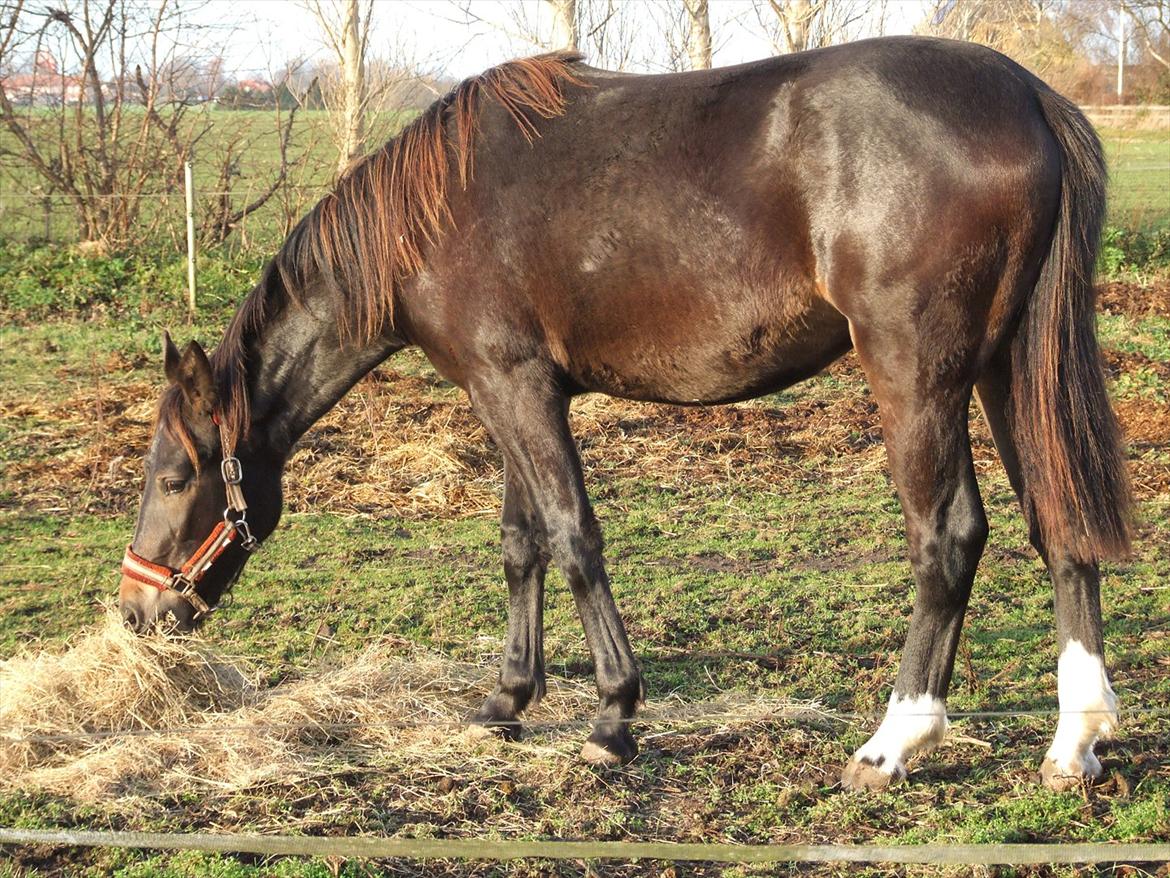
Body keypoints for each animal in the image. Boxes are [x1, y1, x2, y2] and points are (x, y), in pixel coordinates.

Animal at [114, 37, 1127, 796]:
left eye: (174, 476)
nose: (136, 612)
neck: (435, 215)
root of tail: (1029, 97)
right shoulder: (505, 392)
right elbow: (520, 542)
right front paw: (506, 702)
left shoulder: (515, 388)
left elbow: (572, 537)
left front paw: (611, 717)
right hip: (1006, 370)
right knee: (1060, 525)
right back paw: (1073, 742)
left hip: (917, 376)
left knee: (947, 537)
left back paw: (893, 743)